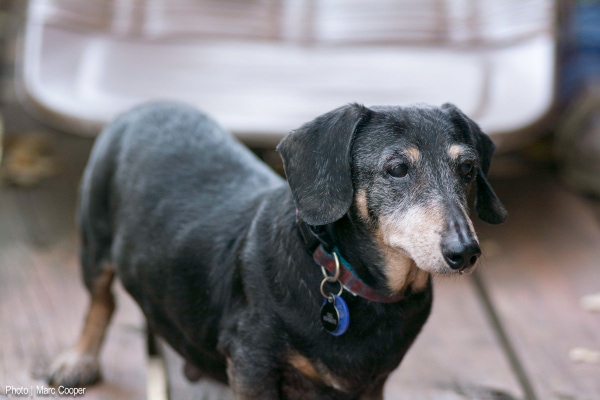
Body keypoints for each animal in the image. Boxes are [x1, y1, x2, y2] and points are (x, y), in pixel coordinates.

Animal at [45, 101, 506, 398]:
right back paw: (78, 359)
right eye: (396, 168)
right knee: (101, 302)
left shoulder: (372, 385)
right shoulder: (253, 364)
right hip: (94, 244)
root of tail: (143, 106)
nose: (465, 253)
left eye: (467, 168)